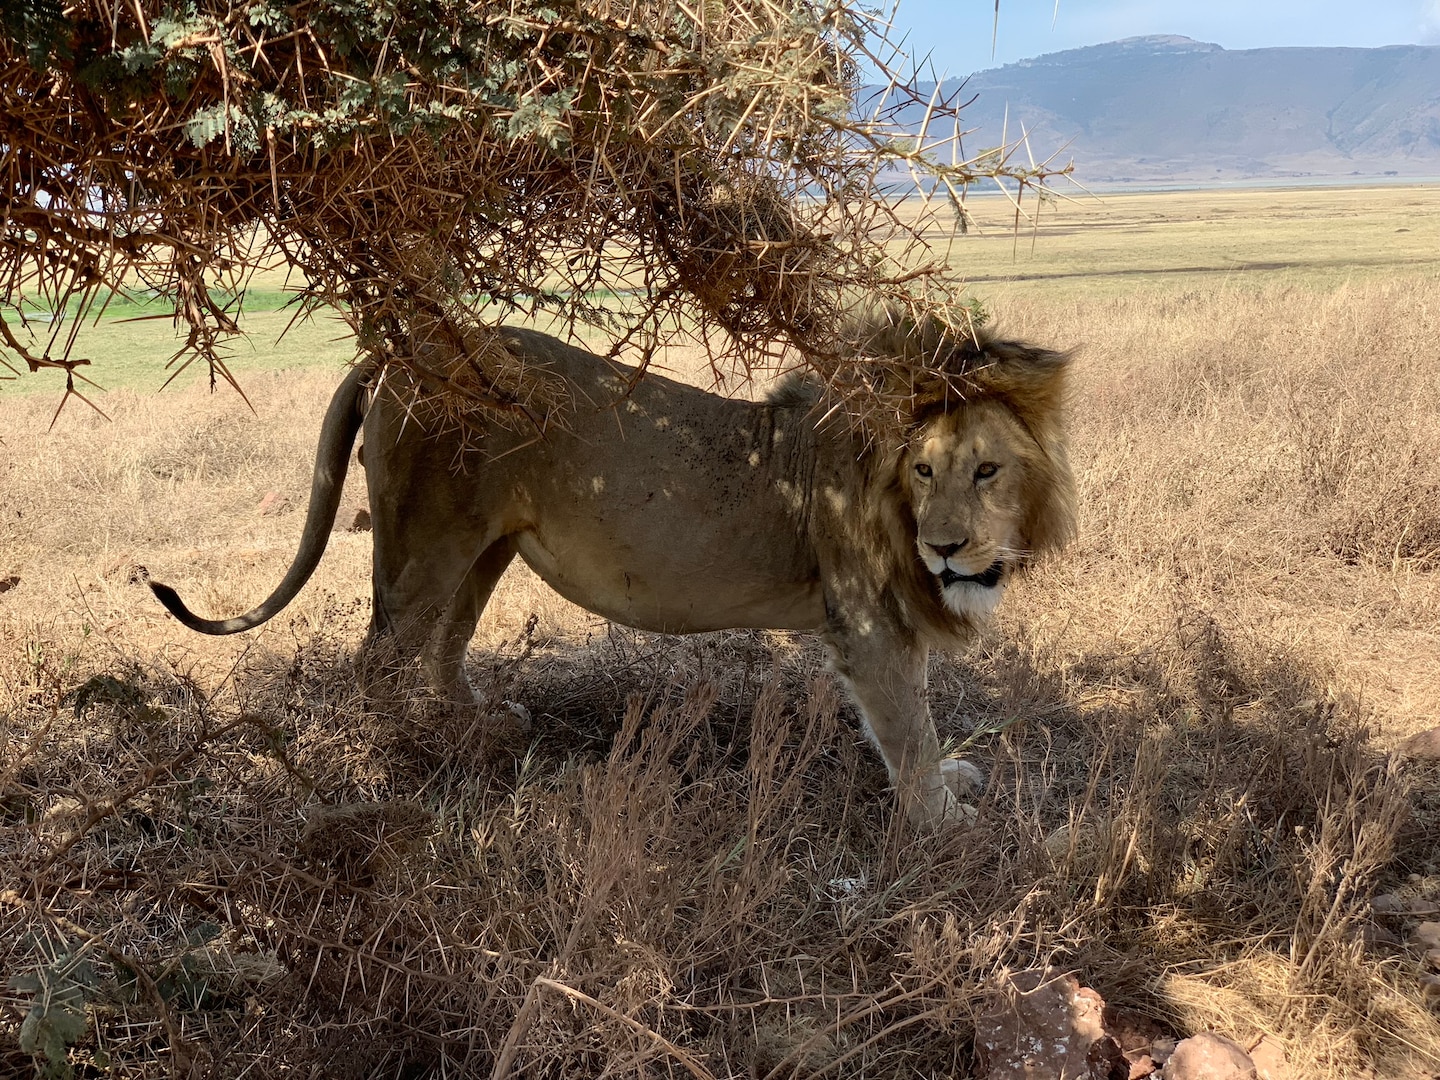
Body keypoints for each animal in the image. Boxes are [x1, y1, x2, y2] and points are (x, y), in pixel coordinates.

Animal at [149, 316, 1071, 835]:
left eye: (987, 471)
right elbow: (908, 727)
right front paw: (944, 823)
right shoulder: (871, 624)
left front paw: (949, 786)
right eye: (924, 470)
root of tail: (405, 354)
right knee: (378, 658)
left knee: (448, 642)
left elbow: (914, 724)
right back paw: (402, 758)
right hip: (425, 542)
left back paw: (475, 726)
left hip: (486, 545)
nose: (946, 549)